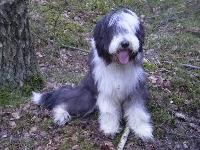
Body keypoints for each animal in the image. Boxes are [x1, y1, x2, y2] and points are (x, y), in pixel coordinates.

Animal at [31, 8, 153, 141]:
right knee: (64, 103)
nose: (125, 43)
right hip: (87, 97)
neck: (118, 65)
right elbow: (109, 111)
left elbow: (138, 110)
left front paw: (143, 130)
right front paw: (110, 128)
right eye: (113, 30)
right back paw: (60, 115)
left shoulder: (135, 88)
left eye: (131, 29)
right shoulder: (106, 89)